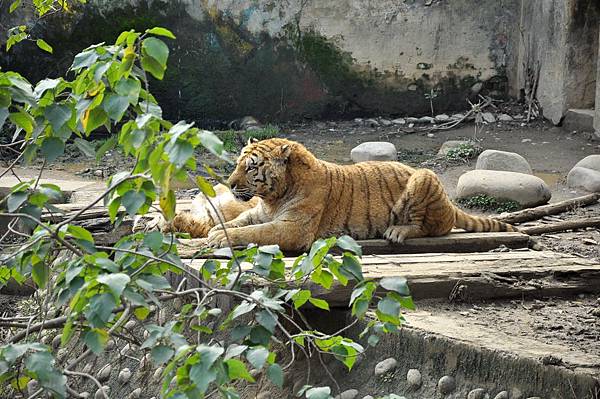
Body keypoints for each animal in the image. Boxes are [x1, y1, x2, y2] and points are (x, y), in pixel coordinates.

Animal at [190, 138, 516, 250]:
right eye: (238, 164)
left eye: (251, 167)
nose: (230, 184)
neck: (274, 197)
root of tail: (450, 203)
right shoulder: (258, 212)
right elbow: (240, 222)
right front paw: (218, 230)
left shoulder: (294, 228)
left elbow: (256, 232)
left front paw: (220, 238)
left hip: (424, 177)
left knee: (431, 227)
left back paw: (398, 231)